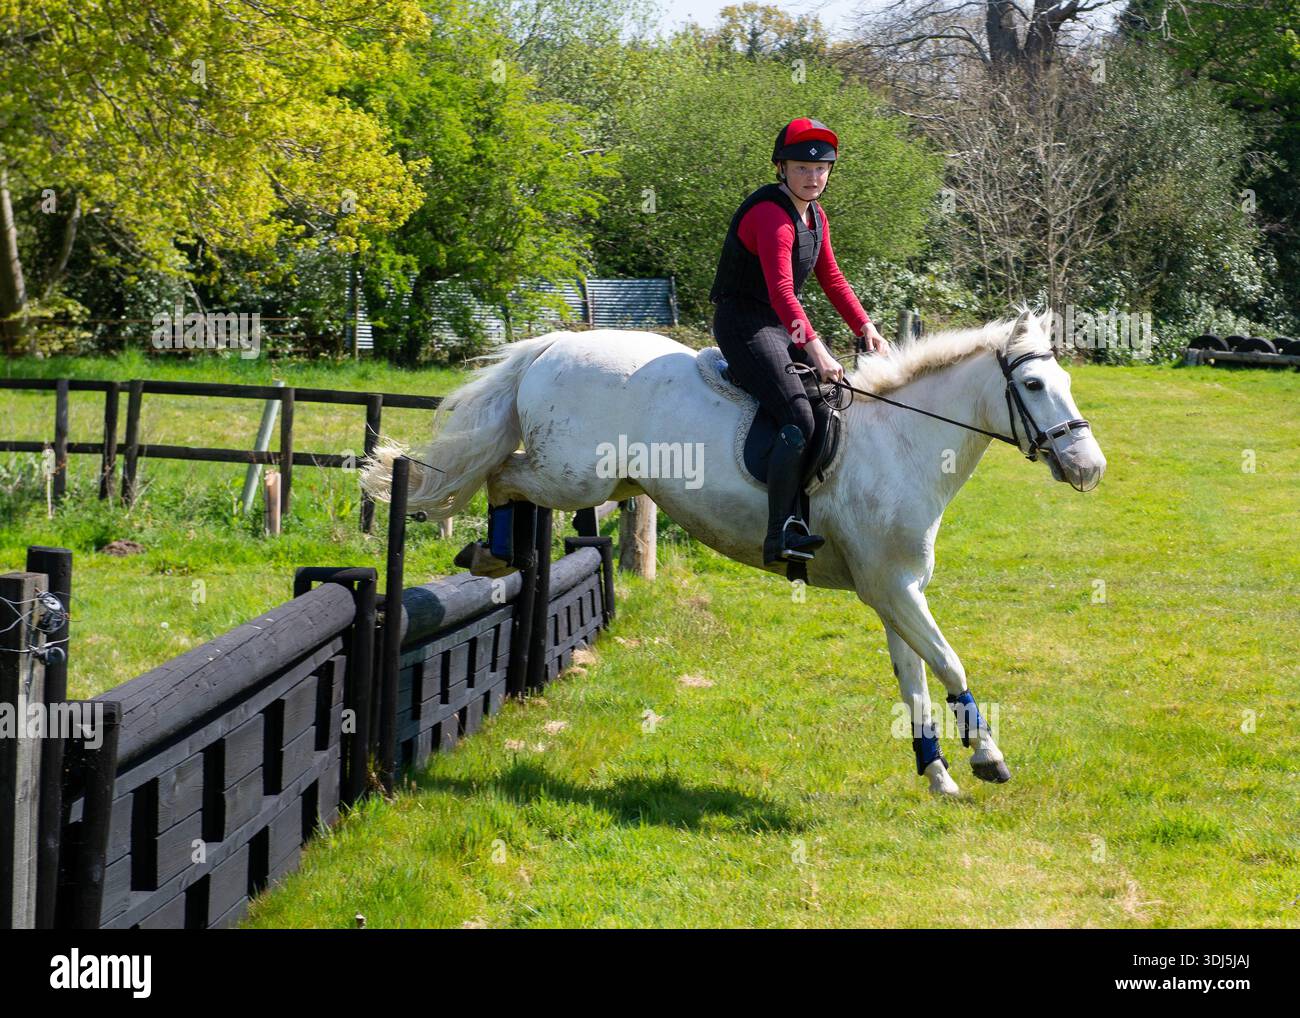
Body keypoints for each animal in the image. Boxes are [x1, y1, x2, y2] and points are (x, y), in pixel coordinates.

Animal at [360, 308, 1107, 795]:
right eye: (1033, 386)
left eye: (1066, 382)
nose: (1089, 467)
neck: (903, 440)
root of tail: (553, 346)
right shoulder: (893, 588)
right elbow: (949, 662)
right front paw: (986, 757)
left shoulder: (894, 590)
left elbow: (915, 677)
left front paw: (937, 772)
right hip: (572, 474)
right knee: (500, 473)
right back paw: (492, 553)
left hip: (598, 478)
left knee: (505, 475)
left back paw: (498, 555)